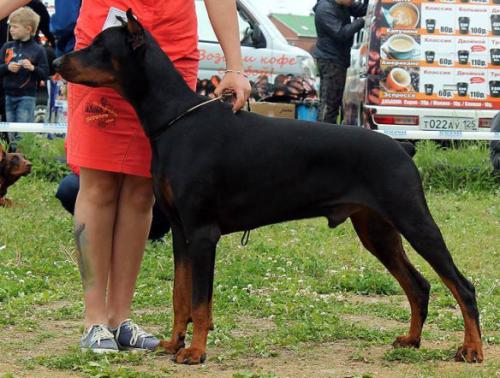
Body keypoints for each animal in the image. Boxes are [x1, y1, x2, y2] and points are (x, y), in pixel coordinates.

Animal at [54, 10, 484, 366]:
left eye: (99, 46)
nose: (57, 62)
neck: (176, 119)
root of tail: (402, 146)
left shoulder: (203, 232)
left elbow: (200, 300)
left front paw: (195, 351)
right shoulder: (179, 230)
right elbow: (180, 295)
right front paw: (174, 343)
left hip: (413, 218)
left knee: (462, 285)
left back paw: (472, 349)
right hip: (376, 229)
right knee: (419, 285)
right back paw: (411, 340)